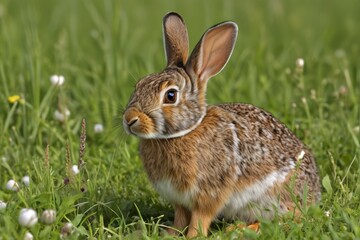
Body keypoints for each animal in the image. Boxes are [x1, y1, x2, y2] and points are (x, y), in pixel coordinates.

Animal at [122, 12, 320, 237]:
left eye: (170, 96)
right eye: (139, 85)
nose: (129, 119)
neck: (182, 133)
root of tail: (315, 194)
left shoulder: (208, 194)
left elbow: (201, 219)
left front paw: (192, 236)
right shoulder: (179, 200)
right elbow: (180, 218)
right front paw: (169, 234)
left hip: (275, 196)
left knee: (292, 218)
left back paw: (241, 229)